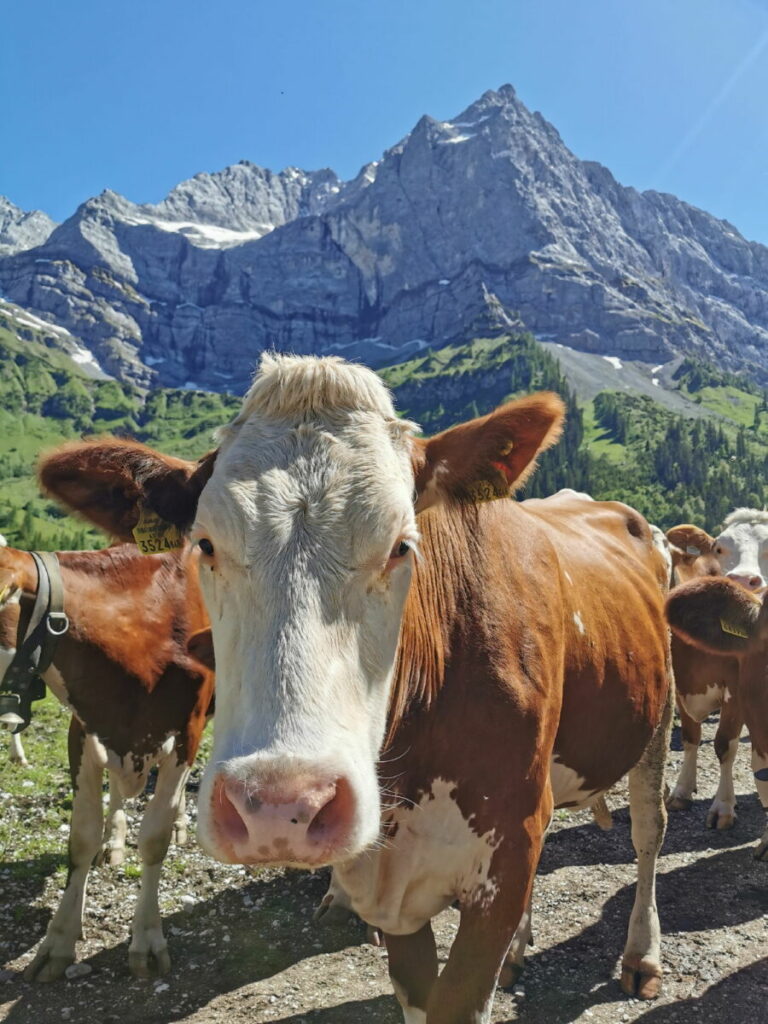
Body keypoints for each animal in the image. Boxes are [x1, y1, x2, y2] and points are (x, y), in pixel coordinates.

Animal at [0, 540, 215, 978]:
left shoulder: (188, 734)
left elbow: (154, 838)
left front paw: (146, 939)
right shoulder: (84, 730)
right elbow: (81, 837)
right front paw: (59, 941)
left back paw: (180, 821)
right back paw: (113, 840)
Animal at [39, 356, 671, 1019]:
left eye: (401, 545)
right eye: (204, 544)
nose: (280, 808)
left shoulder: (508, 851)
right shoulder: (394, 895)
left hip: (658, 717)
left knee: (648, 831)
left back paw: (642, 953)